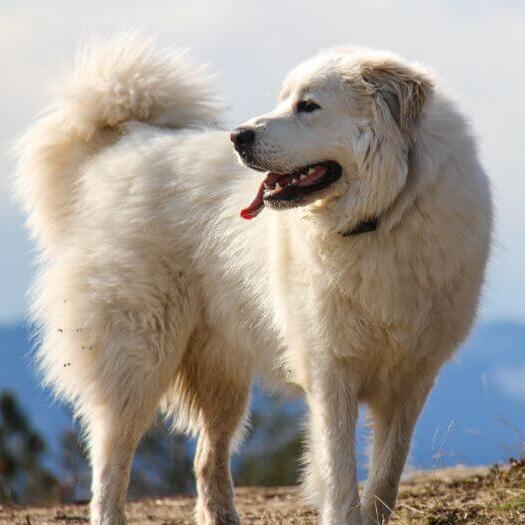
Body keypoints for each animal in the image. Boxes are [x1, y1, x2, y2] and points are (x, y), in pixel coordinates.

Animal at [15, 33, 492, 524]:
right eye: (284, 100)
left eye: (308, 106)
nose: (238, 136)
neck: (381, 217)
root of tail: (122, 145)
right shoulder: (330, 371)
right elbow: (339, 474)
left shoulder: (411, 378)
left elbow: (386, 476)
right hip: (139, 357)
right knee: (111, 463)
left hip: (223, 376)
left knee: (206, 458)